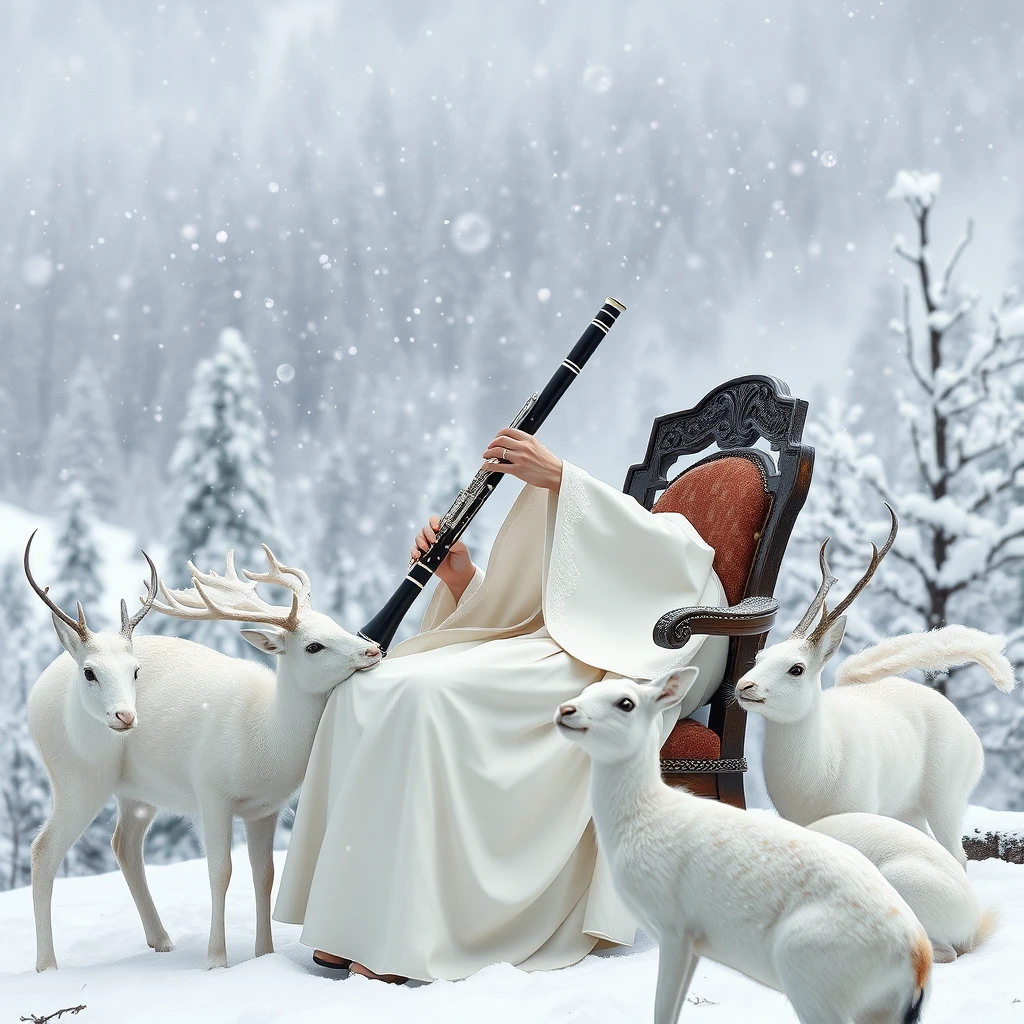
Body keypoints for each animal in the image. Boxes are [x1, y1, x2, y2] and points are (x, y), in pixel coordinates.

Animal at [29, 540, 380, 970]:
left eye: (335, 623)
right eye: (314, 646)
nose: (373, 648)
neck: (266, 737)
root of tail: (34, 694)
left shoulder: (266, 808)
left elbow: (265, 875)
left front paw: (265, 954)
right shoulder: (211, 792)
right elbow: (220, 871)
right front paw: (217, 960)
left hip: (138, 791)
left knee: (124, 843)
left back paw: (161, 940)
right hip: (78, 774)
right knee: (44, 849)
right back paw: (47, 964)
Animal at [557, 667, 933, 1024]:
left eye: (626, 703)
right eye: (588, 689)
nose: (565, 710)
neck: (644, 815)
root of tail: (919, 959)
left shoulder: (675, 927)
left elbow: (662, 1009)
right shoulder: (695, 942)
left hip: (809, 972)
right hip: (874, 1008)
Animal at [733, 503, 1011, 864]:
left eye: (797, 669)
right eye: (759, 657)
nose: (744, 687)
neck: (824, 760)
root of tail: (972, 736)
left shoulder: (860, 810)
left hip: (945, 799)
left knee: (957, 856)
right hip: (906, 811)